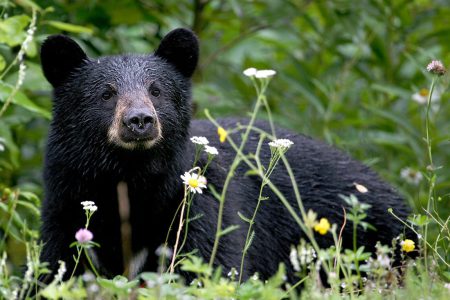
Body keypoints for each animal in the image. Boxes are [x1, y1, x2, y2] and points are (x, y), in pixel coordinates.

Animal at [40, 28, 414, 284]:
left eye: (156, 90)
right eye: (106, 93)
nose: (140, 120)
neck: (131, 178)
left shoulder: (198, 202)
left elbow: (212, 261)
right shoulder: (67, 198)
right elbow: (58, 265)